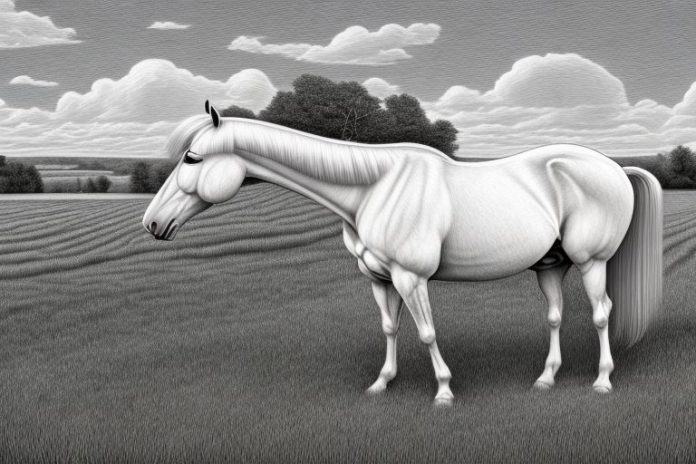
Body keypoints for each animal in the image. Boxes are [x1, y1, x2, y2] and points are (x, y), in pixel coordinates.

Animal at [143, 102, 663, 406]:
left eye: (192, 157)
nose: (151, 223)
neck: (374, 187)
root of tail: (614, 167)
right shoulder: (379, 279)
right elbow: (391, 328)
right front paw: (381, 384)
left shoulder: (411, 277)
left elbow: (427, 332)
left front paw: (444, 392)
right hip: (550, 265)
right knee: (555, 316)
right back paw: (546, 380)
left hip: (592, 262)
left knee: (601, 313)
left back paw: (602, 381)